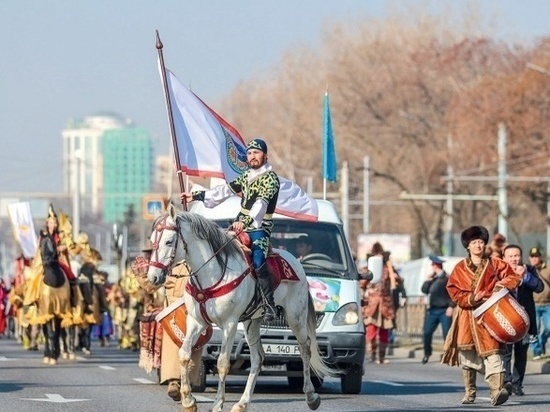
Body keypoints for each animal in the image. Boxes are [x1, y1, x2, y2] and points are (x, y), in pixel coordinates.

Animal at [148, 208, 336, 412]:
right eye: (152, 240)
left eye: (168, 241)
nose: (153, 277)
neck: (212, 273)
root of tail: (297, 263)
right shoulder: (196, 322)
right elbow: (184, 354)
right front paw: (188, 401)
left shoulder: (229, 325)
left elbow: (222, 363)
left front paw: (217, 404)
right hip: (251, 323)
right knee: (258, 358)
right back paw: (242, 403)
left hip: (295, 318)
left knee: (305, 349)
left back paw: (311, 397)